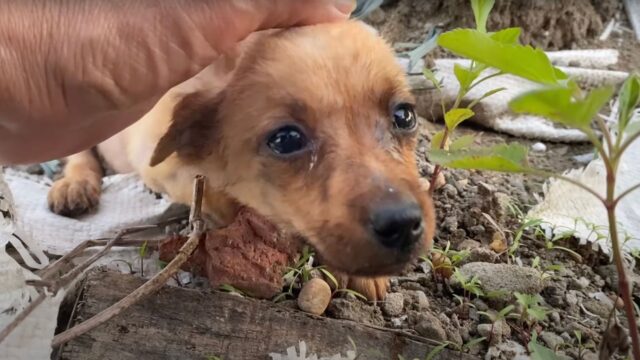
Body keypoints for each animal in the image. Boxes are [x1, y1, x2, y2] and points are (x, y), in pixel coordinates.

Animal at [47, 20, 436, 300]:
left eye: (404, 116)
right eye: (286, 139)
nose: (403, 224)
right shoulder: (161, 165)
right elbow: (220, 199)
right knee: (79, 154)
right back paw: (74, 185)